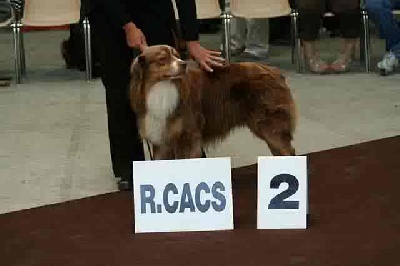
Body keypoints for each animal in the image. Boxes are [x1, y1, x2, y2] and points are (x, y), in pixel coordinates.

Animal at [129, 44, 296, 160]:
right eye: (162, 59)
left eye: (177, 56)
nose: (183, 63)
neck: (162, 88)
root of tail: (275, 71)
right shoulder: (161, 139)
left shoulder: (188, 135)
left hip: (269, 124)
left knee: (288, 151)